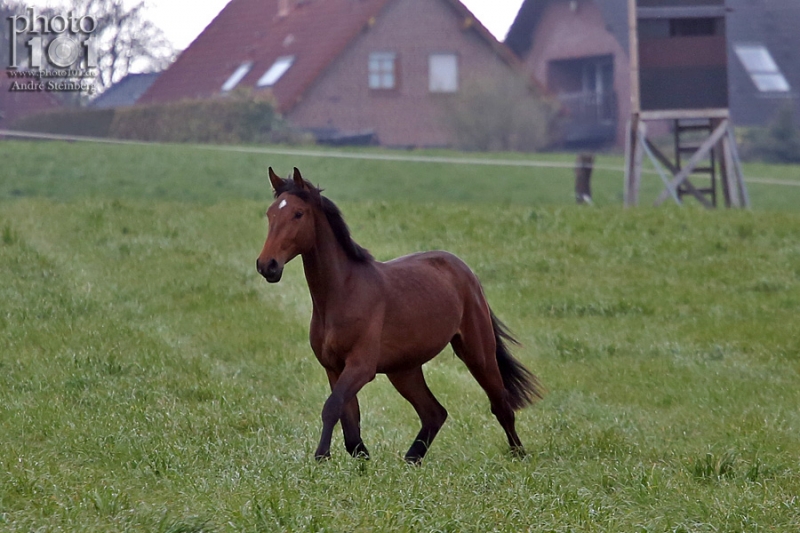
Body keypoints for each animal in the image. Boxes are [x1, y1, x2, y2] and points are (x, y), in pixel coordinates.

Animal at [256, 166, 544, 462]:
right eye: (270, 213)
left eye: (298, 213)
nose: (267, 265)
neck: (343, 294)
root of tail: (464, 271)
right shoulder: (334, 368)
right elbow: (351, 427)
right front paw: (360, 463)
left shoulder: (361, 367)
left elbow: (332, 407)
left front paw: (321, 457)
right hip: (404, 370)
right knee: (434, 413)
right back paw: (410, 460)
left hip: (477, 353)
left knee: (501, 405)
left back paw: (518, 455)